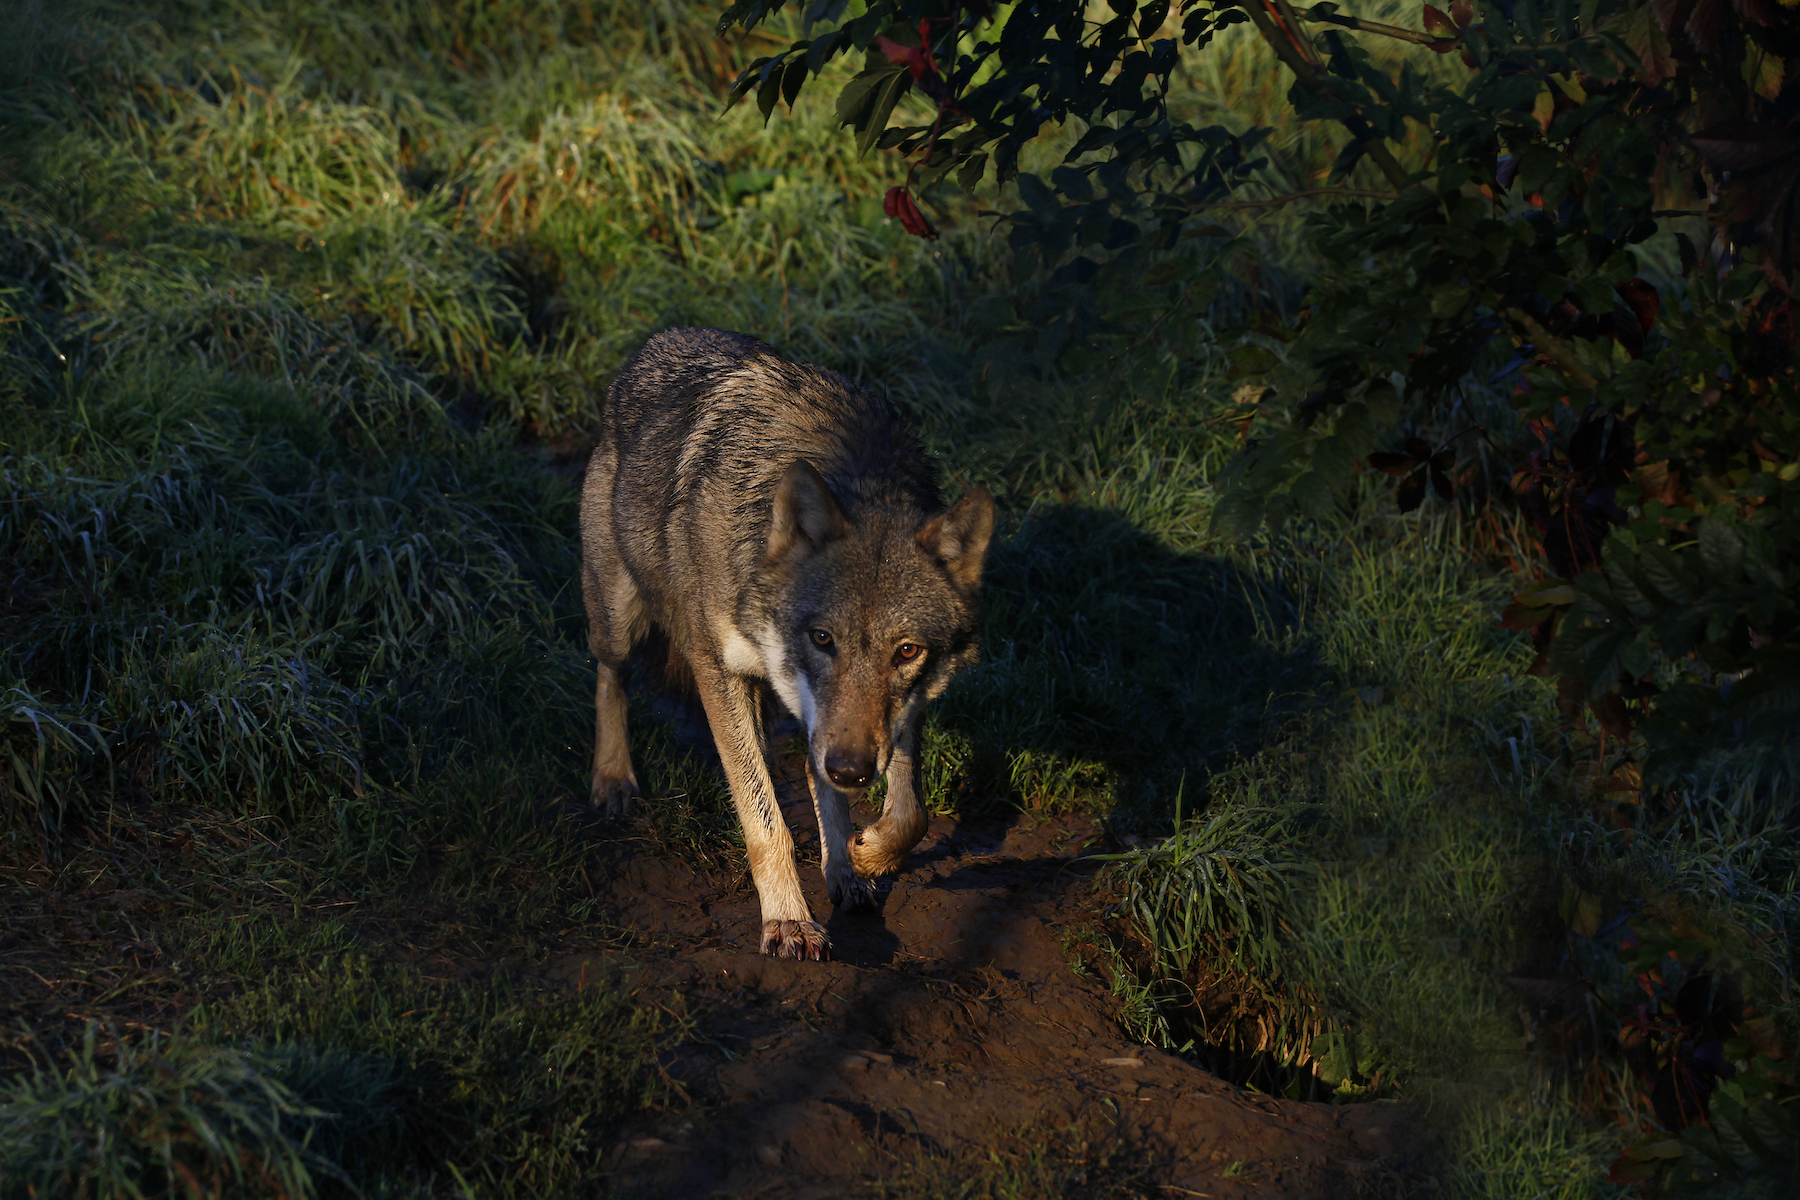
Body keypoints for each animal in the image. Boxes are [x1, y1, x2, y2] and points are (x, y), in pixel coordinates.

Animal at [579, 331, 993, 964]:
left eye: (907, 652)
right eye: (822, 638)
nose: (851, 768)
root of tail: (657, 341)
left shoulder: (897, 708)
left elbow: (909, 812)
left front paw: (863, 856)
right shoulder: (717, 670)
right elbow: (765, 818)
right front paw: (789, 920)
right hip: (620, 622)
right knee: (610, 674)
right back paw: (612, 779)